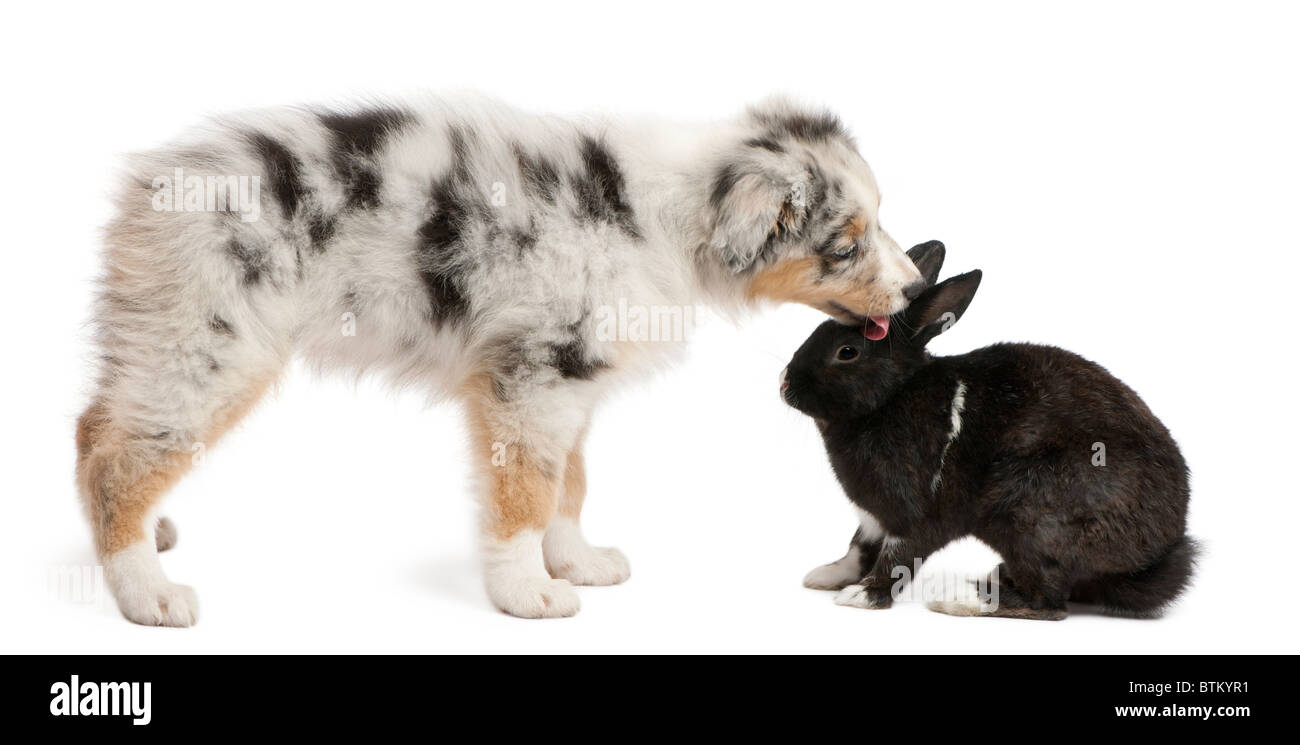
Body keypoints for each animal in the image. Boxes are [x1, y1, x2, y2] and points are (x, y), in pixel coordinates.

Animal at [781, 241, 1197, 620]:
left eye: (847, 352)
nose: (784, 383)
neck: (894, 395)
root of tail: (1159, 551)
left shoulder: (915, 514)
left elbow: (898, 558)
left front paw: (861, 597)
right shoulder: (873, 518)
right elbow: (858, 548)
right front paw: (825, 576)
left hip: (1027, 511)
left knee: (1047, 601)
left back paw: (959, 598)